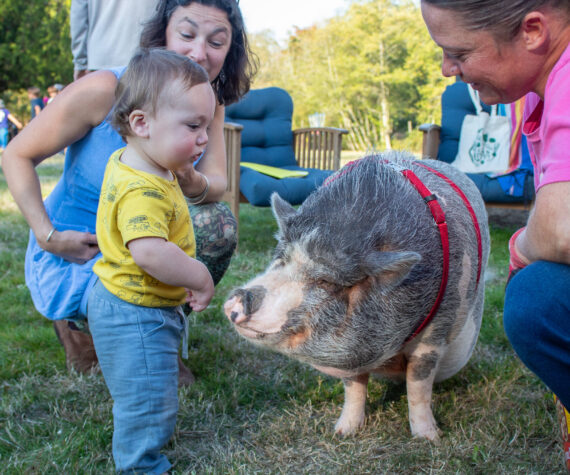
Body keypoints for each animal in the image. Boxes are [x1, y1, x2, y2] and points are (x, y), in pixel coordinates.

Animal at [223, 152, 488, 442]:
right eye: (281, 259)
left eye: (325, 281)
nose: (239, 296)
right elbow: (354, 387)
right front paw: (342, 432)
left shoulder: (437, 332)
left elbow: (418, 386)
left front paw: (429, 438)